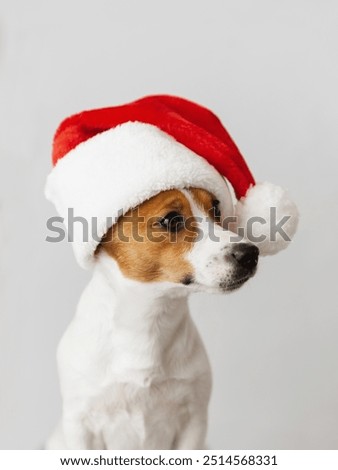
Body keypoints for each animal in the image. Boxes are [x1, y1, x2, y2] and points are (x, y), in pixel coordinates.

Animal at [46, 185, 258, 450]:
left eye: (216, 209)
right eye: (171, 220)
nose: (251, 254)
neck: (148, 319)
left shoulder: (194, 421)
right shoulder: (82, 425)